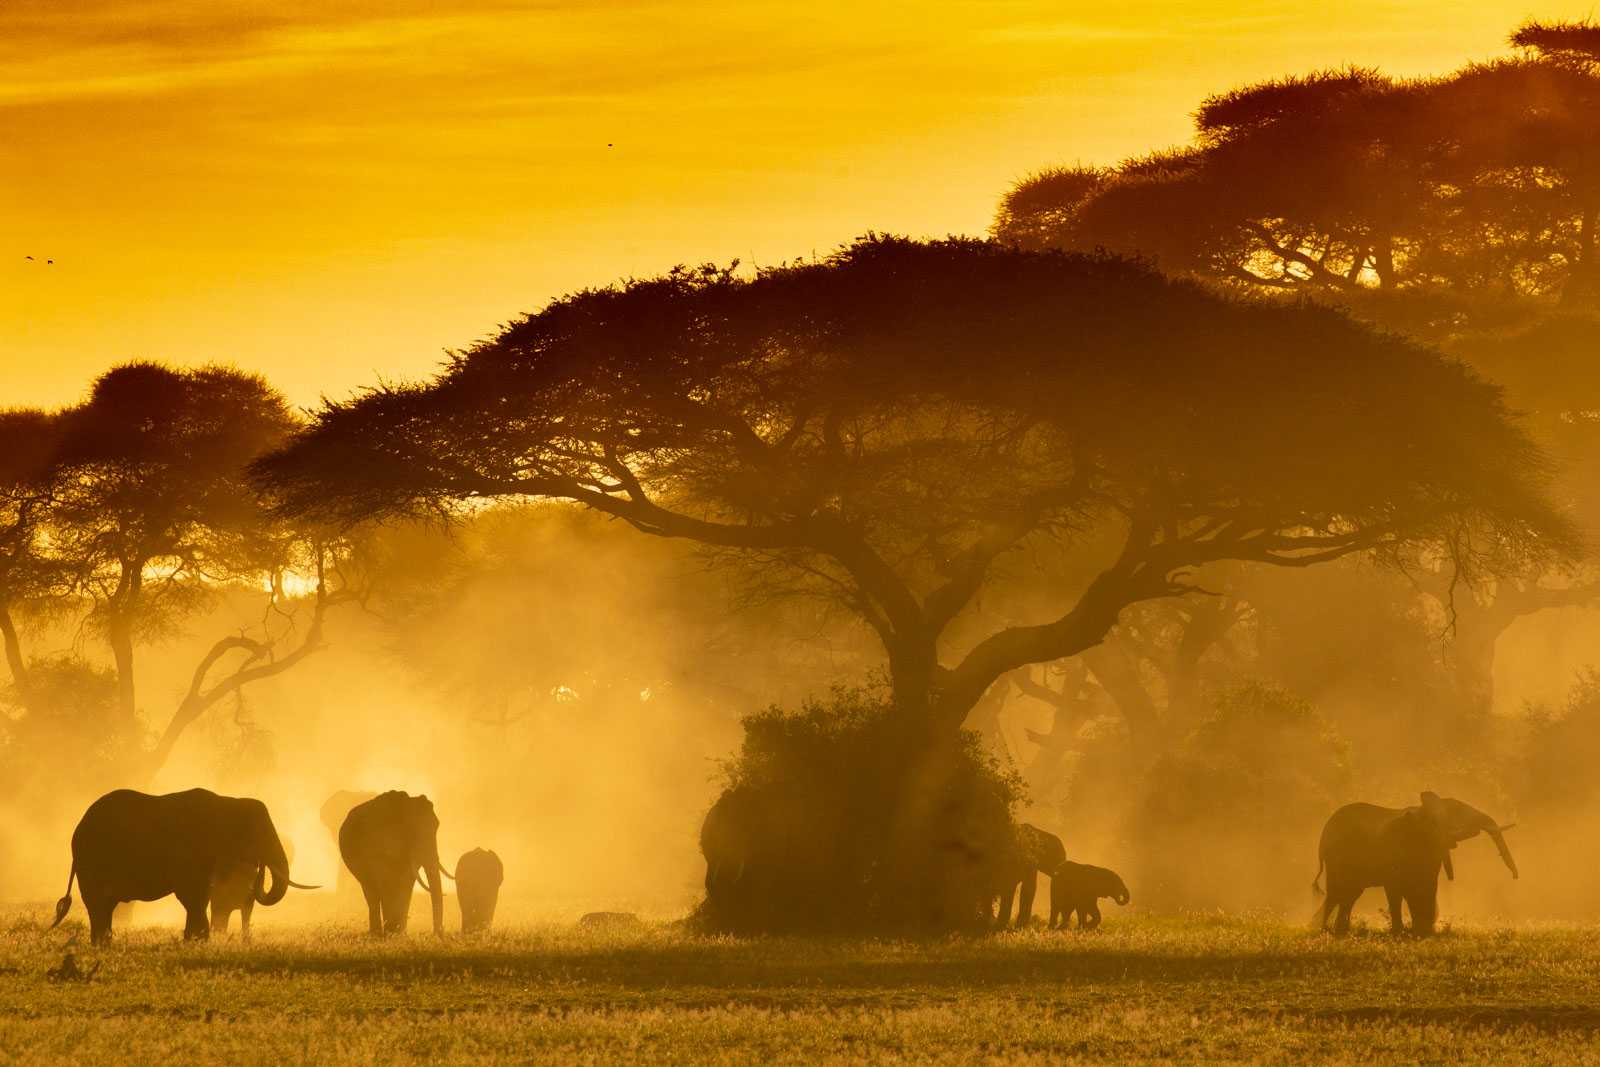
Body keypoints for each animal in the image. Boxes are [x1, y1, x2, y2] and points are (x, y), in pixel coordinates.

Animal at [48, 783, 316, 940]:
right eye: (258, 834)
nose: (260, 866)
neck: (226, 802)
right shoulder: (186, 849)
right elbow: (193, 895)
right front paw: (200, 941)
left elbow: (200, 894)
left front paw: (194, 941)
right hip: (90, 859)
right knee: (98, 904)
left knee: (105, 905)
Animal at [337, 793, 451, 934]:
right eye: (411, 831)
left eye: (436, 827)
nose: (437, 933)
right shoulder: (380, 843)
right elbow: (387, 882)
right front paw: (391, 932)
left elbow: (407, 883)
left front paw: (399, 933)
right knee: (371, 891)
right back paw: (376, 933)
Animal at [1305, 793, 1516, 934]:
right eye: (1459, 812)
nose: (1515, 876)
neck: (1423, 811)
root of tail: (1323, 836)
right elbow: (1397, 889)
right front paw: (1401, 932)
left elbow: (1425, 885)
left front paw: (1421, 930)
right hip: (1337, 857)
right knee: (1337, 892)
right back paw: (1323, 928)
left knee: (1350, 894)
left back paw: (1337, 929)